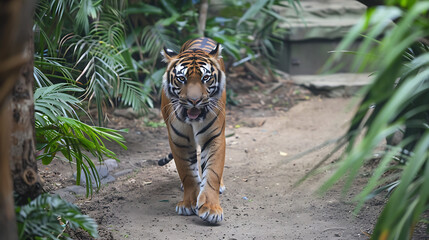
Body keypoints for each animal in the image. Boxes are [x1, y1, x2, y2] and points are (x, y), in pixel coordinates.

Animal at [160, 37, 226, 223]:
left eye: (206, 78)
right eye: (182, 78)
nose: (194, 100)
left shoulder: (214, 137)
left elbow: (213, 172)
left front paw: (211, 208)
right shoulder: (179, 140)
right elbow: (187, 173)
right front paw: (189, 203)